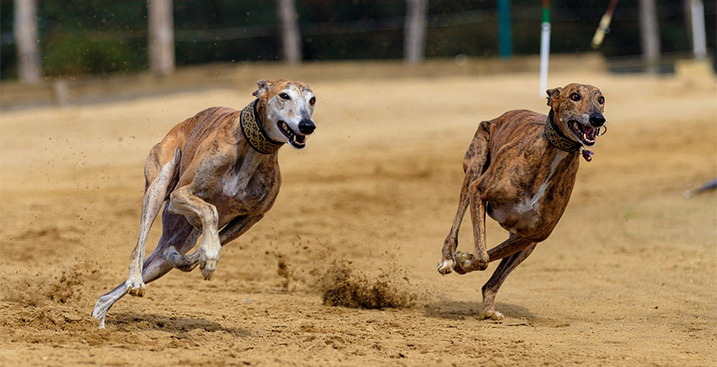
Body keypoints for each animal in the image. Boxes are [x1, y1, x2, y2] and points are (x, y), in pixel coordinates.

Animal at [92, 80, 316, 328]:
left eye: (312, 100)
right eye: (284, 96)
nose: (307, 126)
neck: (252, 152)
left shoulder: (252, 217)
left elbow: (200, 250)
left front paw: (201, 257)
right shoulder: (180, 195)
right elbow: (211, 210)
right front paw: (209, 254)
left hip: (179, 236)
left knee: (156, 259)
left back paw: (101, 311)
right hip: (159, 186)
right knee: (137, 247)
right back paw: (135, 281)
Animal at [436, 85, 604, 320]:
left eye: (601, 99)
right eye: (575, 96)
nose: (598, 119)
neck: (553, 155)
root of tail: (500, 117)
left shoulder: (532, 235)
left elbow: (486, 256)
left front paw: (464, 261)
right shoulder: (478, 191)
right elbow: (483, 257)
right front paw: (458, 259)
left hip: (525, 243)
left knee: (493, 280)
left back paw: (488, 309)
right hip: (475, 164)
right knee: (458, 218)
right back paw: (447, 258)